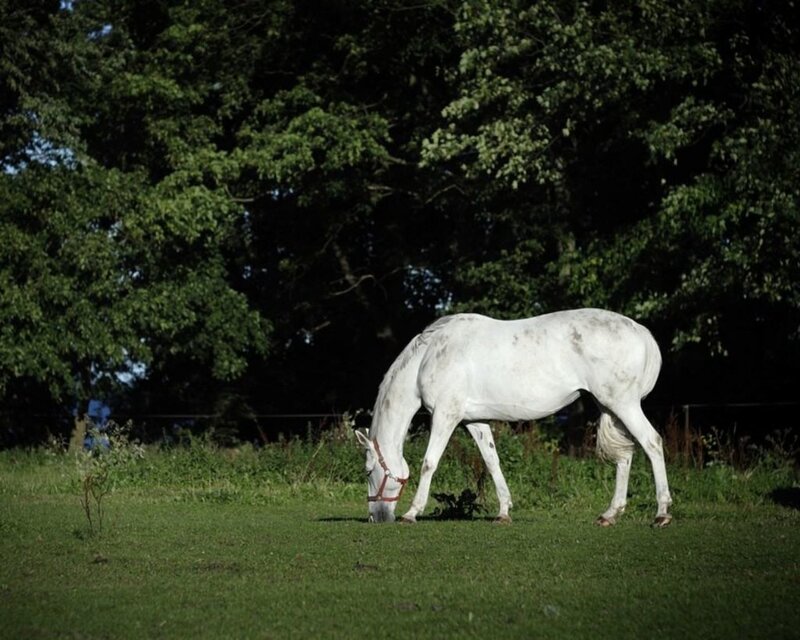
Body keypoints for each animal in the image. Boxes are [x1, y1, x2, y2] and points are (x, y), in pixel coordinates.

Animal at [355, 308, 673, 527]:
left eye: (369, 471)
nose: (375, 517)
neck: (429, 355)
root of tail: (640, 331)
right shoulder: (474, 422)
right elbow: (492, 462)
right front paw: (504, 511)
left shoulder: (446, 415)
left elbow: (428, 463)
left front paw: (412, 512)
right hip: (610, 407)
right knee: (625, 457)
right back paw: (610, 514)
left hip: (623, 404)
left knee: (652, 443)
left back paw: (662, 513)